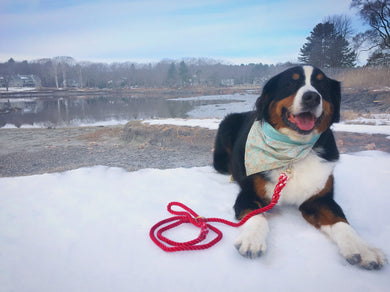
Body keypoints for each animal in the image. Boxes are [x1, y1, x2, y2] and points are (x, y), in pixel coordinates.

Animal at [213, 64, 386, 270]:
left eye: (321, 84)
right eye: (291, 82)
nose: (312, 97)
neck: (291, 151)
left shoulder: (319, 198)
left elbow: (339, 219)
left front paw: (362, 248)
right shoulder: (249, 194)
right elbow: (256, 216)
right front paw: (252, 240)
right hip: (226, 128)